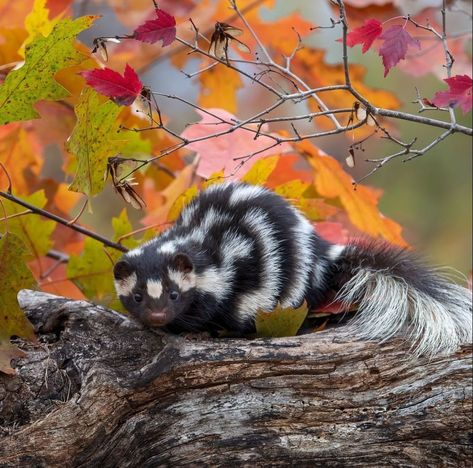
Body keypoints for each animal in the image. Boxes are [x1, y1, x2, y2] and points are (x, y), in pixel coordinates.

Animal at [115, 182, 472, 354]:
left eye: (174, 294)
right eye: (137, 296)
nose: (158, 315)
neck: (193, 240)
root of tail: (321, 251)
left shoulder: (231, 269)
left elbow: (221, 306)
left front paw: (199, 330)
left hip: (292, 276)